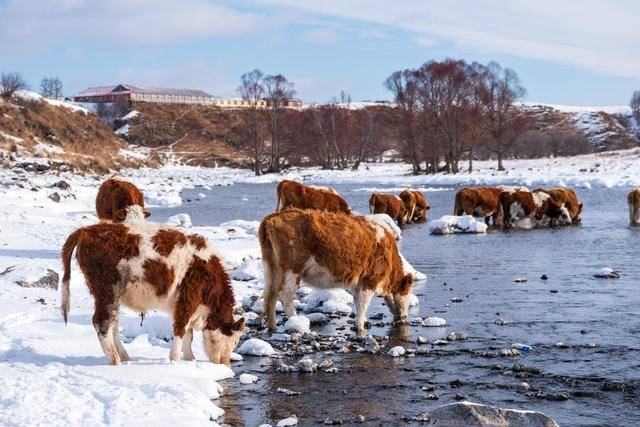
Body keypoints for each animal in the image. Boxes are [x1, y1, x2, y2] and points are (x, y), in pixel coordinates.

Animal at [59, 206, 242, 366]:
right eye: (234, 341)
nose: (226, 364)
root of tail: (87, 230)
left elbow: (188, 335)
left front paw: (190, 359)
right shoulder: (188, 299)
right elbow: (181, 330)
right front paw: (175, 361)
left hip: (111, 295)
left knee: (113, 322)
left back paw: (124, 356)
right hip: (107, 289)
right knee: (102, 322)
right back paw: (115, 361)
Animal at [258, 210, 412, 338]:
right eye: (407, 292)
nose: (404, 317)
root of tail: (272, 217)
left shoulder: (358, 281)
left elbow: (358, 301)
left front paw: (360, 322)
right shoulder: (370, 279)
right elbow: (363, 304)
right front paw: (360, 326)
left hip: (272, 268)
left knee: (270, 295)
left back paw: (272, 326)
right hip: (292, 269)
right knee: (285, 296)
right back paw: (297, 321)